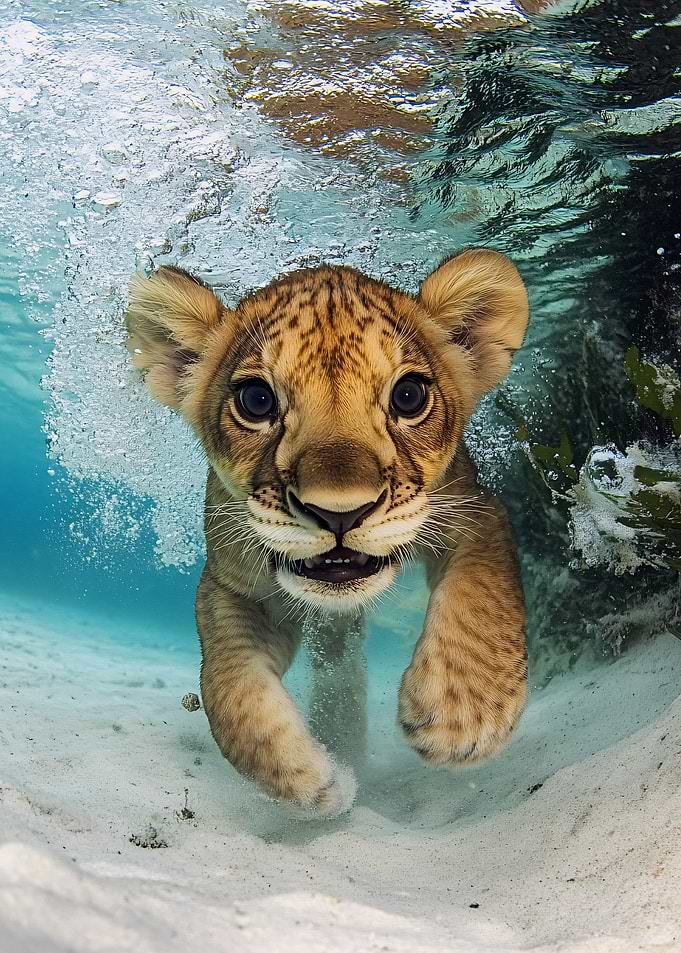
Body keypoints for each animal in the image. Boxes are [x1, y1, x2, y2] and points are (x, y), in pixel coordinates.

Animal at [125, 249, 529, 817]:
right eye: (256, 400)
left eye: (408, 396)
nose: (339, 513)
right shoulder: (233, 585)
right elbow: (229, 684)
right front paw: (313, 782)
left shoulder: (477, 511)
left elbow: (483, 594)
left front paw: (463, 714)